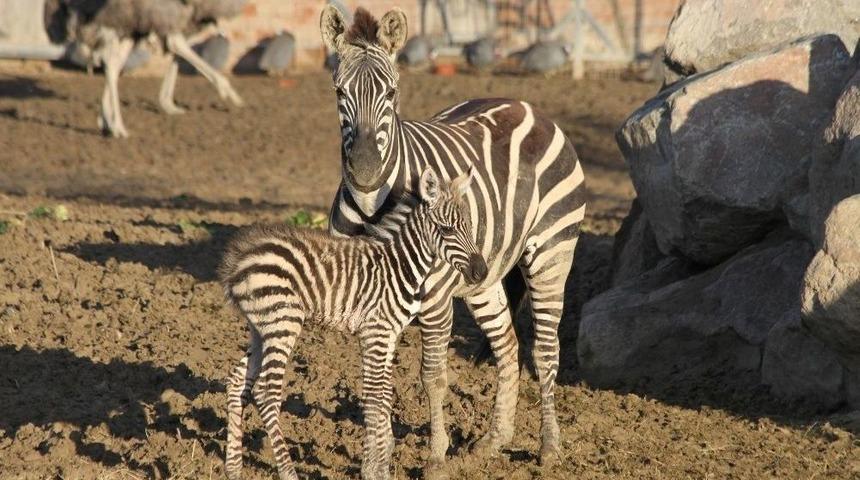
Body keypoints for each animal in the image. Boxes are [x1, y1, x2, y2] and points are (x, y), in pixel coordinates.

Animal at [220, 168, 488, 480]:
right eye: (446, 230)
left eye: (470, 227)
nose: (481, 272)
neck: (400, 265)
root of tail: (239, 259)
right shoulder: (376, 332)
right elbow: (374, 396)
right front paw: (374, 468)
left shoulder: (389, 334)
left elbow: (383, 395)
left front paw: (380, 464)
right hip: (283, 323)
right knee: (266, 393)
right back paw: (288, 472)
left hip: (260, 328)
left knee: (237, 381)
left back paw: (233, 468)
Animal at [320, 6, 586, 471]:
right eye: (339, 92)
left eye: (392, 92)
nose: (366, 170)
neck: (372, 207)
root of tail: (527, 106)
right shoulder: (364, 302)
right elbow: (374, 382)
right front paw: (377, 457)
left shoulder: (435, 299)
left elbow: (433, 376)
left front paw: (435, 456)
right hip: (483, 277)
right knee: (508, 345)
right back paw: (494, 440)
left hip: (552, 252)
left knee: (545, 350)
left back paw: (549, 447)